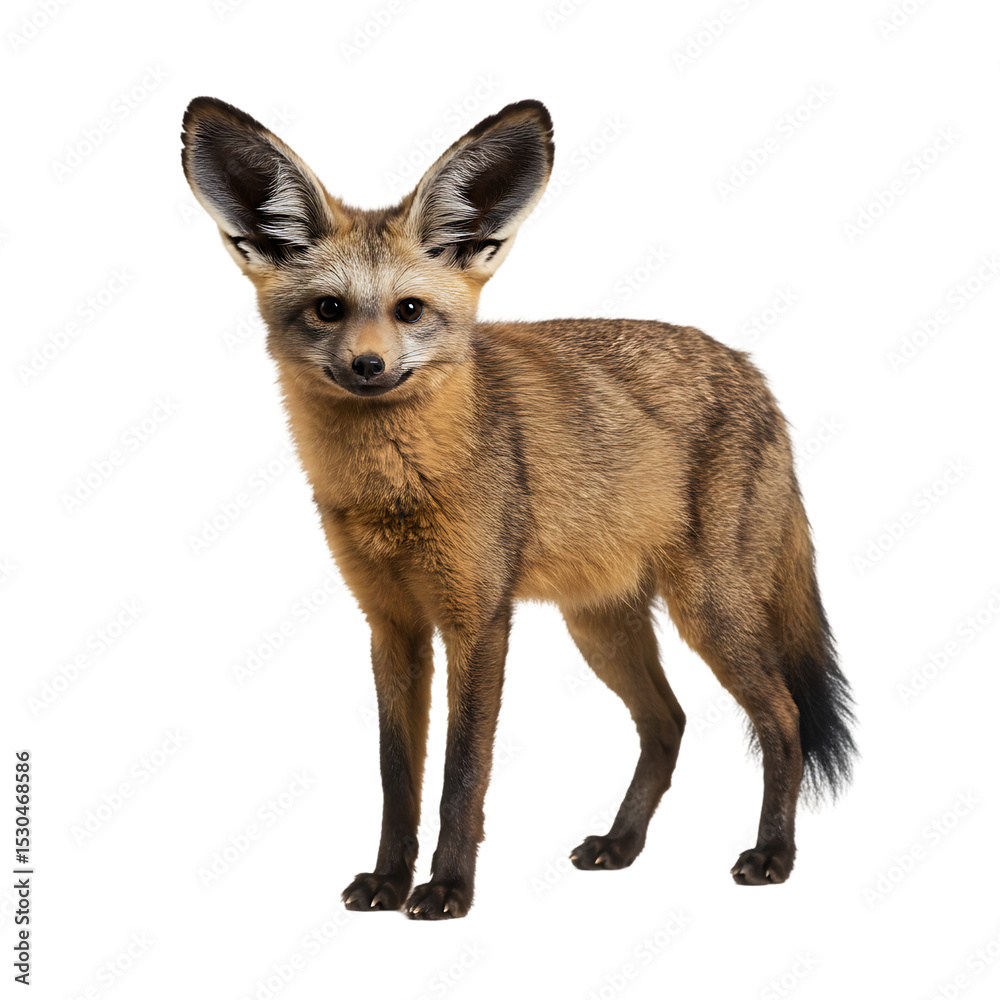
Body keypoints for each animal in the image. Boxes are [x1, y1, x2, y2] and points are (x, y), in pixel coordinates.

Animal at [181, 96, 856, 919]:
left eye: (409, 310)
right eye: (328, 309)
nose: (368, 366)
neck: (397, 492)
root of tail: (751, 368)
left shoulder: (478, 619)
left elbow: (462, 777)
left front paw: (447, 888)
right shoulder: (392, 625)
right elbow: (397, 779)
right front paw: (387, 880)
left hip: (710, 611)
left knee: (783, 718)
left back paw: (773, 854)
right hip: (601, 626)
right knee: (668, 724)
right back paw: (621, 844)